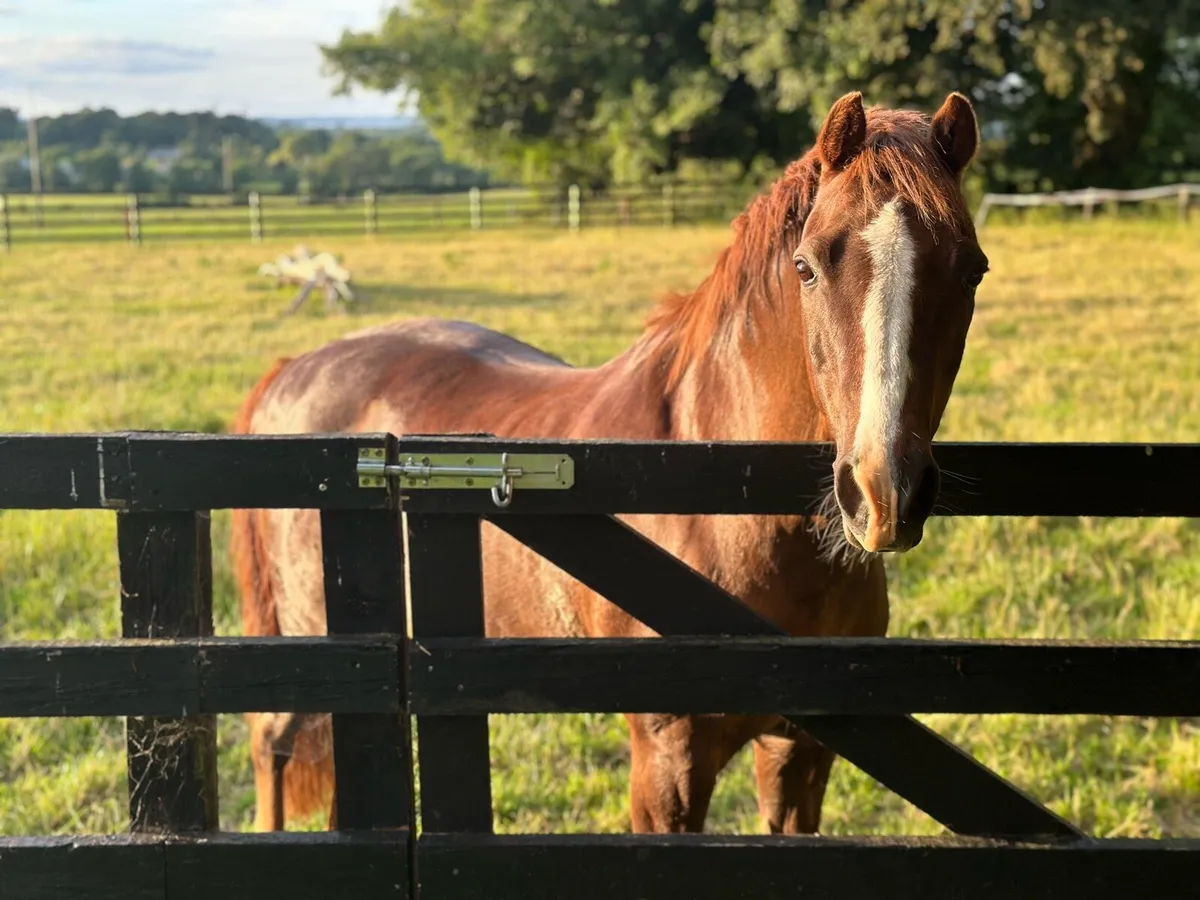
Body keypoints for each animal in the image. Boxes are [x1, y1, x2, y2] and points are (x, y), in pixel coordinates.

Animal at [231, 90, 989, 835]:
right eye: (806, 265)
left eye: (972, 270)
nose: (883, 491)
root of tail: (291, 369)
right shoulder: (668, 766)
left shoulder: (802, 753)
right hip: (307, 636)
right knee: (271, 740)